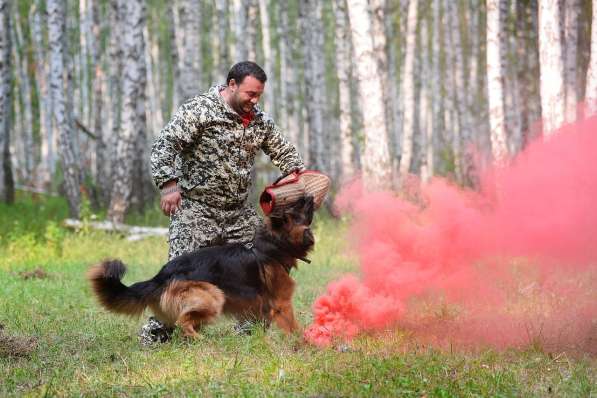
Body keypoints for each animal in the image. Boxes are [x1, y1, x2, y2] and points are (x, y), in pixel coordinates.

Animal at [88, 194, 316, 338]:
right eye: (296, 207)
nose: (308, 196)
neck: (273, 246)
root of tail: (162, 274)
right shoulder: (282, 304)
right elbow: (295, 329)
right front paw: (306, 347)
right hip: (214, 295)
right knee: (182, 322)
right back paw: (203, 341)